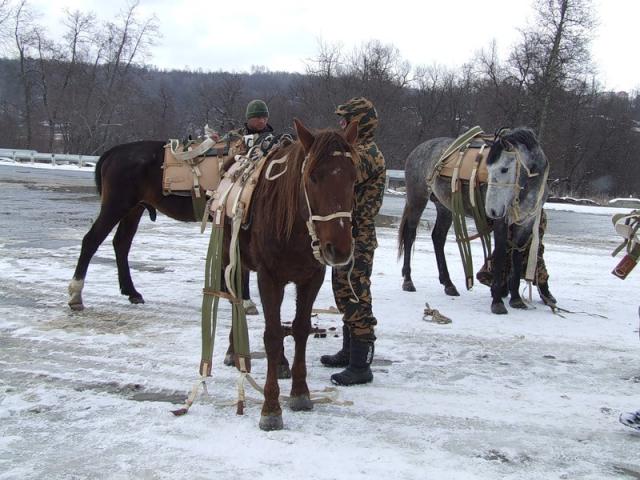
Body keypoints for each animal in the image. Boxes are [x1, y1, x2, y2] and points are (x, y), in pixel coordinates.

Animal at [238, 120, 360, 432]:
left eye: (354, 178)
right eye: (313, 177)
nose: (339, 248)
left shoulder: (312, 278)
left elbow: (301, 329)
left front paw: (300, 392)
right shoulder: (269, 278)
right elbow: (271, 334)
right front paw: (270, 407)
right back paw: (235, 354)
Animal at [398, 127, 548, 316]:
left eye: (504, 169)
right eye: (488, 169)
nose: (492, 210)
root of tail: (418, 150)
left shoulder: (526, 222)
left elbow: (516, 256)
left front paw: (515, 298)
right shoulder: (502, 222)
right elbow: (500, 255)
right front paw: (497, 301)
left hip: (445, 207)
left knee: (438, 238)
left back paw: (449, 284)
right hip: (417, 199)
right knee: (410, 235)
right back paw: (408, 281)